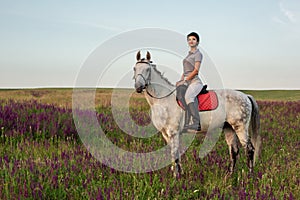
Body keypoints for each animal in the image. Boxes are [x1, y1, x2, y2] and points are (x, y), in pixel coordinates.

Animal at [132, 51, 262, 177]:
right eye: (135, 68)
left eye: (147, 69)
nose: (138, 87)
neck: (163, 99)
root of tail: (246, 96)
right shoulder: (166, 134)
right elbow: (174, 154)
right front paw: (179, 173)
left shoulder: (173, 133)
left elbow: (175, 154)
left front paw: (176, 177)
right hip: (229, 128)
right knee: (234, 150)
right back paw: (229, 176)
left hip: (240, 127)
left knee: (249, 150)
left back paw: (249, 177)